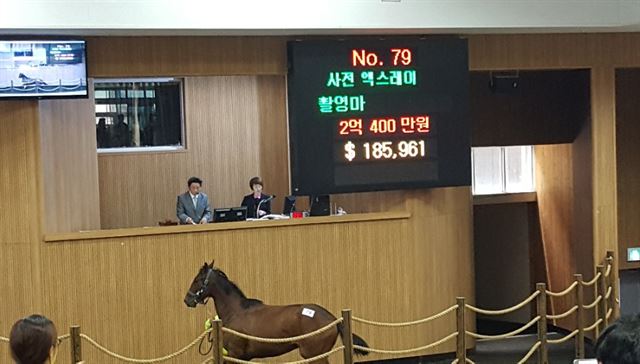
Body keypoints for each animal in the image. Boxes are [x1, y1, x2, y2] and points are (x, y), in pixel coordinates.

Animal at [182, 262, 368, 362]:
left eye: (197, 280)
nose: (187, 300)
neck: (236, 312)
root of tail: (333, 319)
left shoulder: (236, 355)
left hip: (315, 355)